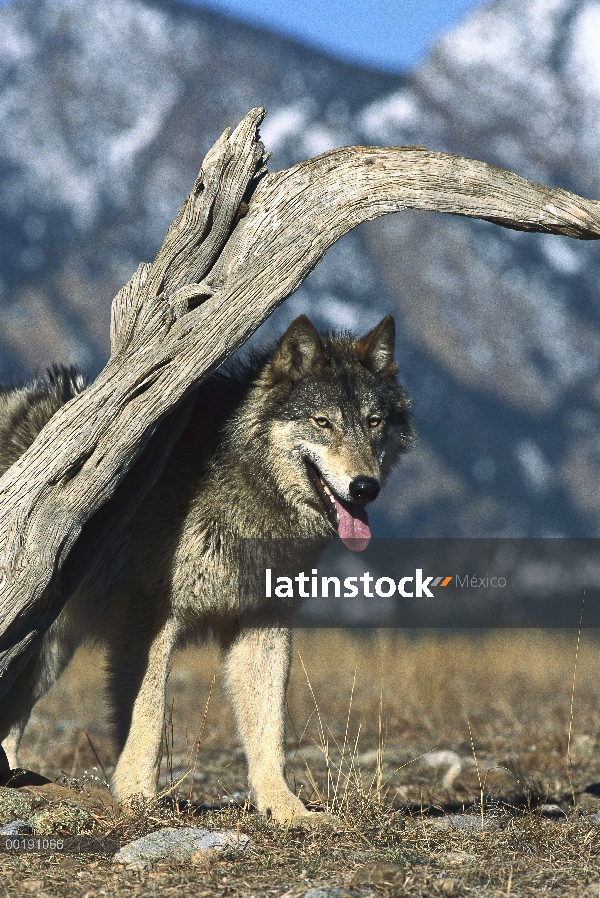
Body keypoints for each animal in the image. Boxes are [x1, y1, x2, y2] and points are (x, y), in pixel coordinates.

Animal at [0, 314, 412, 820]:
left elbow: (270, 727)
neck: (242, 486)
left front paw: (285, 809)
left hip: (49, 650)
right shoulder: (149, 620)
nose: (365, 487)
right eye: (323, 422)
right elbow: (148, 714)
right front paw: (137, 798)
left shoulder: (263, 621)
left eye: (373, 422)